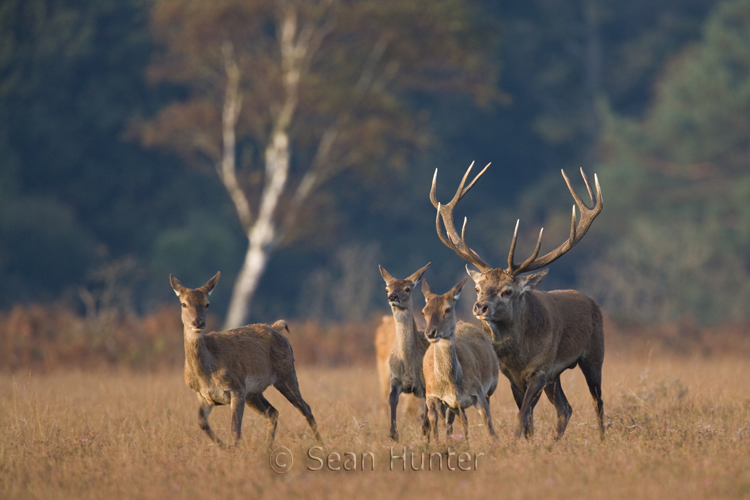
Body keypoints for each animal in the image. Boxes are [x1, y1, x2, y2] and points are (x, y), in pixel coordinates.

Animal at [170, 272, 324, 452]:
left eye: (207, 304)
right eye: (184, 304)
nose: (198, 322)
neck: (206, 373)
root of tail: (276, 328)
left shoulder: (237, 387)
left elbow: (235, 429)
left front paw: (233, 449)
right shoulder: (204, 395)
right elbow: (202, 423)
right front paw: (225, 447)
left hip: (286, 374)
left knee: (306, 408)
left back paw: (322, 446)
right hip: (254, 393)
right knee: (273, 412)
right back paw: (267, 449)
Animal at [424, 280, 500, 444]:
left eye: (447, 309)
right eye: (424, 311)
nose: (431, 332)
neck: (453, 383)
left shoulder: (478, 391)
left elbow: (489, 426)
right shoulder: (433, 394)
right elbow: (435, 422)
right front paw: (436, 444)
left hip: (491, 387)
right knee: (455, 420)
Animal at [432, 162, 608, 440]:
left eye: (507, 291)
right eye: (478, 287)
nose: (480, 307)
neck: (520, 355)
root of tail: (592, 302)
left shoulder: (540, 370)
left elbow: (522, 415)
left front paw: (515, 443)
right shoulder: (513, 376)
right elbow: (527, 419)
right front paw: (528, 442)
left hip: (594, 354)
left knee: (597, 401)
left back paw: (601, 439)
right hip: (556, 376)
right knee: (565, 408)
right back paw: (553, 443)